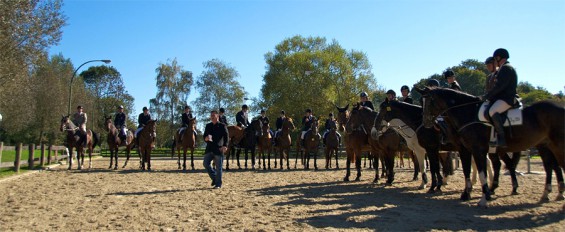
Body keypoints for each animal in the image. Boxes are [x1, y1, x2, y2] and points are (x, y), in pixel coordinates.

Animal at [414, 86, 564, 205]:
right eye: (421, 102)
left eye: (429, 101)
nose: (426, 122)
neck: (467, 113)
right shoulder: (464, 150)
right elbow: (467, 170)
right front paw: (467, 193)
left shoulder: (475, 149)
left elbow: (481, 172)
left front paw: (483, 196)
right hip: (543, 146)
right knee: (548, 166)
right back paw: (547, 193)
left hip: (554, 146)